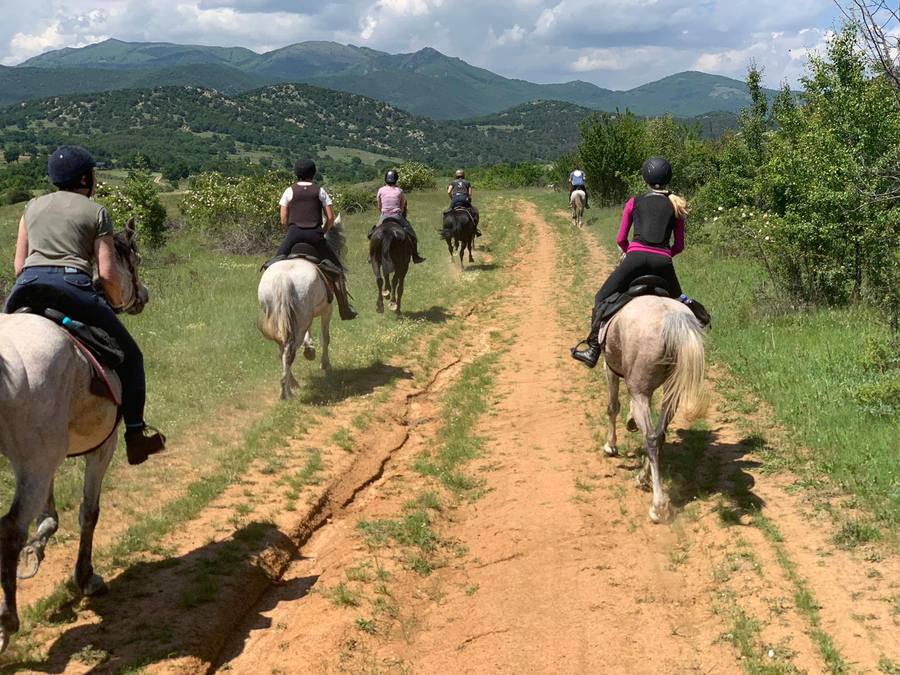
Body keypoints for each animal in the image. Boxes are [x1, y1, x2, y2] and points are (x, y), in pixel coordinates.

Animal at [0, 223, 149, 656]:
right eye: (132, 259)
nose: (143, 296)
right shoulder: (100, 448)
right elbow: (89, 512)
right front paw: (86, 578)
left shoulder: (48, 456)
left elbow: (48, 515)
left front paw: (38, 548)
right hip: (35, 463)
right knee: (9, 530)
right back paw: (7, 624)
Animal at [260, 217, 348, 398]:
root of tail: (283, 278)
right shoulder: (327, 310)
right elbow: (325, 337)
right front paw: (325, 364)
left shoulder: (307, 315)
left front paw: (310, 349)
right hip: (299, 320)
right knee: (290, 350)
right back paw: (286, 392)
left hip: (280, 319)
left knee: (282, 349)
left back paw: (291, 383)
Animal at [600, 294, 708, 524]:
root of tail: (672, 319)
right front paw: (631, 421)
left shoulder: (610, 368)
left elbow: (612, 407)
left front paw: (610, 445)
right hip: (671, 392)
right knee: (659, 435)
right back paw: (643, 478)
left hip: (640, 389)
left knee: (650, 437)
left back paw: (657, 506)